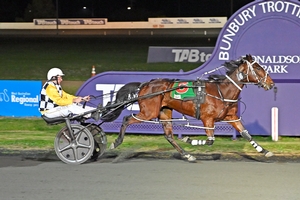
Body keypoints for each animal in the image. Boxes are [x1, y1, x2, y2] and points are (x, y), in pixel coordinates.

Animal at [109, 54, 274, 162]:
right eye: (257, 68)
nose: (271, 83)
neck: (221, 91)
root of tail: (145, 84)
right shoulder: (207, 119)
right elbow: (210, 140)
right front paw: (188, 138)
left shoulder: (231, 117)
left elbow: (246, 134)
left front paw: (265, 151)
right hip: (149, 112)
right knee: (127, 119)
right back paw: (115, 143)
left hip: (164, 111)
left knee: (169, 135)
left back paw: (187, 155)